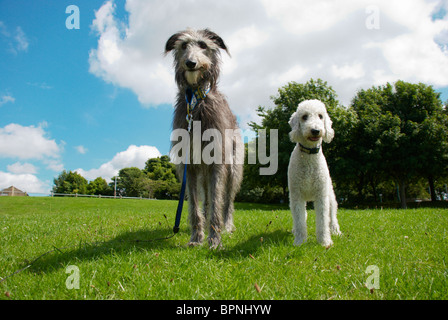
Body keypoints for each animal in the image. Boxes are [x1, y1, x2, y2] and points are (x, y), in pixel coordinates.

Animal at [164, 28, 242, 249]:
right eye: (183, 45)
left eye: (203, 45)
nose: (191, 63)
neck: (197, 101)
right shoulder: (189, 165)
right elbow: (194, 205)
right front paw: (196, 238)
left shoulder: (217, 161)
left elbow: (217, 203)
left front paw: (214, 240)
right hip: (204, 174)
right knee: (206, 199)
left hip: (233, 168)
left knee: (227, 201)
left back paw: (227, 226)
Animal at [288, 100, 342, 248]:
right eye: (304, 117)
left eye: (321, 116)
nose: (316, 130)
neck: (309, 156)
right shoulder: (296, 195)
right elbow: (299, 219)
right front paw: (299, 241)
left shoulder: (321, 195)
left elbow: (323, 219)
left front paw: (325, 241)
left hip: (330, 195)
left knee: (332, 215)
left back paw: (335, 231)